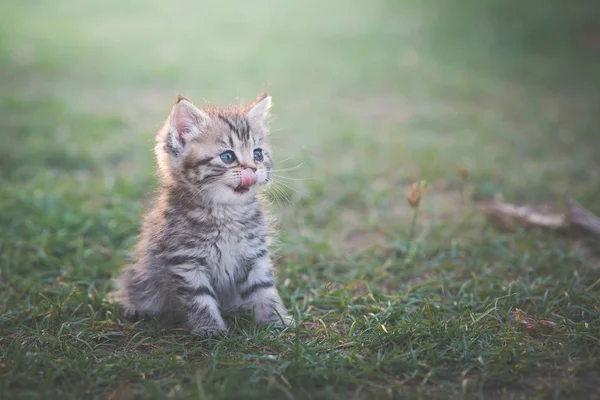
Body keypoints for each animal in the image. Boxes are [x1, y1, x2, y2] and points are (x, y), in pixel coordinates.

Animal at [116, 92, 290, 336]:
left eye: (258, 154)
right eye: (227, 157)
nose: (253, 169)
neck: (227, 213)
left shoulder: (255, 255)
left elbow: (264, 290)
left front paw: (277, 322)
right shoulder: (186, 261)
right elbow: (199, 299)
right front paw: (211, 329)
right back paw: (138, 310)